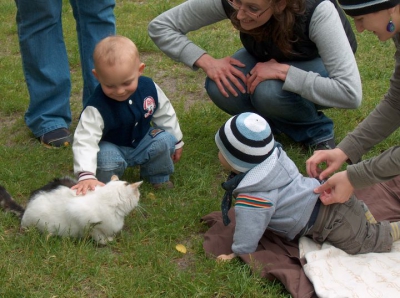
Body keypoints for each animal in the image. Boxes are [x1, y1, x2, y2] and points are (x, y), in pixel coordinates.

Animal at [0, 176, 142, 243]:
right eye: (138, 194)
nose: (140, 197)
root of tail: (26, 209)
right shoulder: (82, 216)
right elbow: (97, 234)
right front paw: (106, 240)